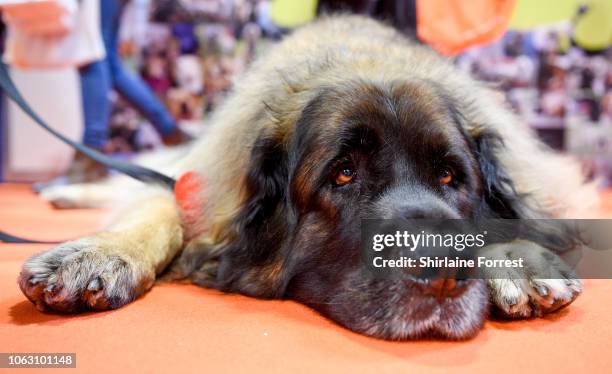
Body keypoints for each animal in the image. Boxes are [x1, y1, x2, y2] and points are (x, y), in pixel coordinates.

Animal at [23, 16, 596, 338]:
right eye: (342, 175)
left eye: (451, 177)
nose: (441, 271)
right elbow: (162, 208)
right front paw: (96, 255)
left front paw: (516, 257)